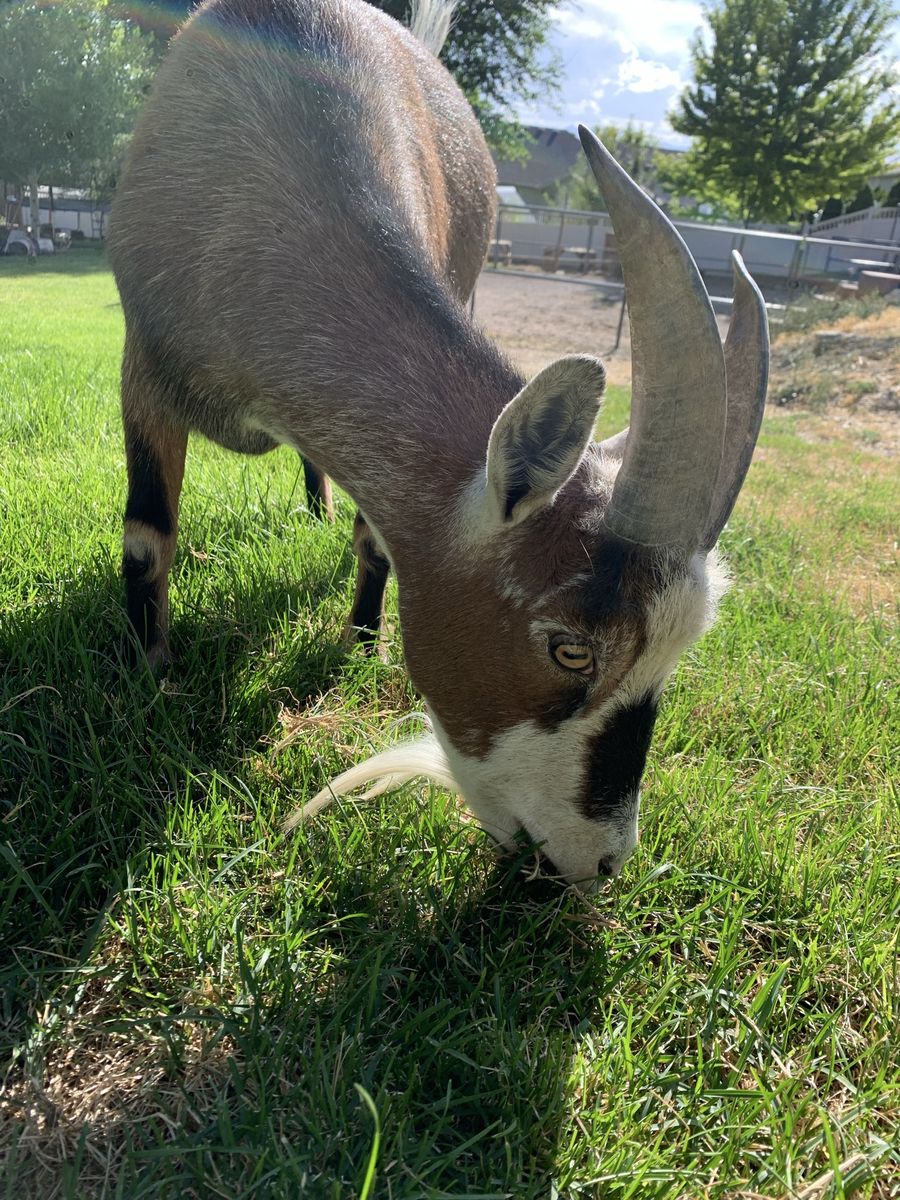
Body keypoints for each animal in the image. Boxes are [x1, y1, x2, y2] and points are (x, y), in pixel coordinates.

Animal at [109, 0, 768, 889]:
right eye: (570, 650)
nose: (600, 861)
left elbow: (377, 535)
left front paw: (359, 644)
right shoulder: (145, 362)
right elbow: (148, 537)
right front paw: (150, 675)